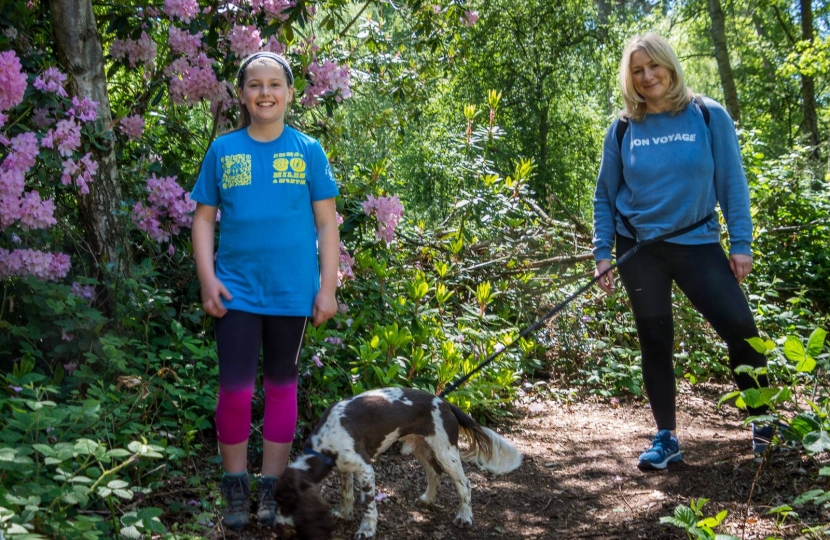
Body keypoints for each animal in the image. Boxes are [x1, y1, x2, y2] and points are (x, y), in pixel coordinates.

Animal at [278, 388, 528, 540]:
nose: (275, 525)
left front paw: (366, 530)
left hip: (445, 451)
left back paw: (464, 517)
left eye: (288, 503)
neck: (323, 445)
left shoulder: (365, 468)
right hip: (421, 448)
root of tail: (444, 402)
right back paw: (427, 499)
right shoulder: (344, 467)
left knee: (464, 484)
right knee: (435, 474)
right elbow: (345, 494)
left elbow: (368, 505)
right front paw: (343, 514)